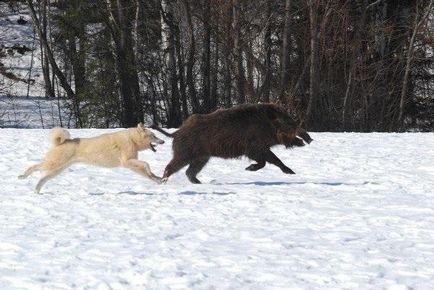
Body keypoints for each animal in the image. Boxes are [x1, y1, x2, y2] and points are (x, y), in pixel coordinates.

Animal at [18, 122, 165, 193]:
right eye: (153, 135)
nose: (163, 141)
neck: (132, 140)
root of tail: (60, 142)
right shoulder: (127, 162)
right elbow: (146, 165)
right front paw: (157, 178)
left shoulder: (132, 164)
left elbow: (149, 174)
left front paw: (159, 180)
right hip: (54, 164)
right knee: (34, 167)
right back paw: (22, 176)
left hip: (57, 169)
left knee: (42, 178)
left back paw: (36, 191)